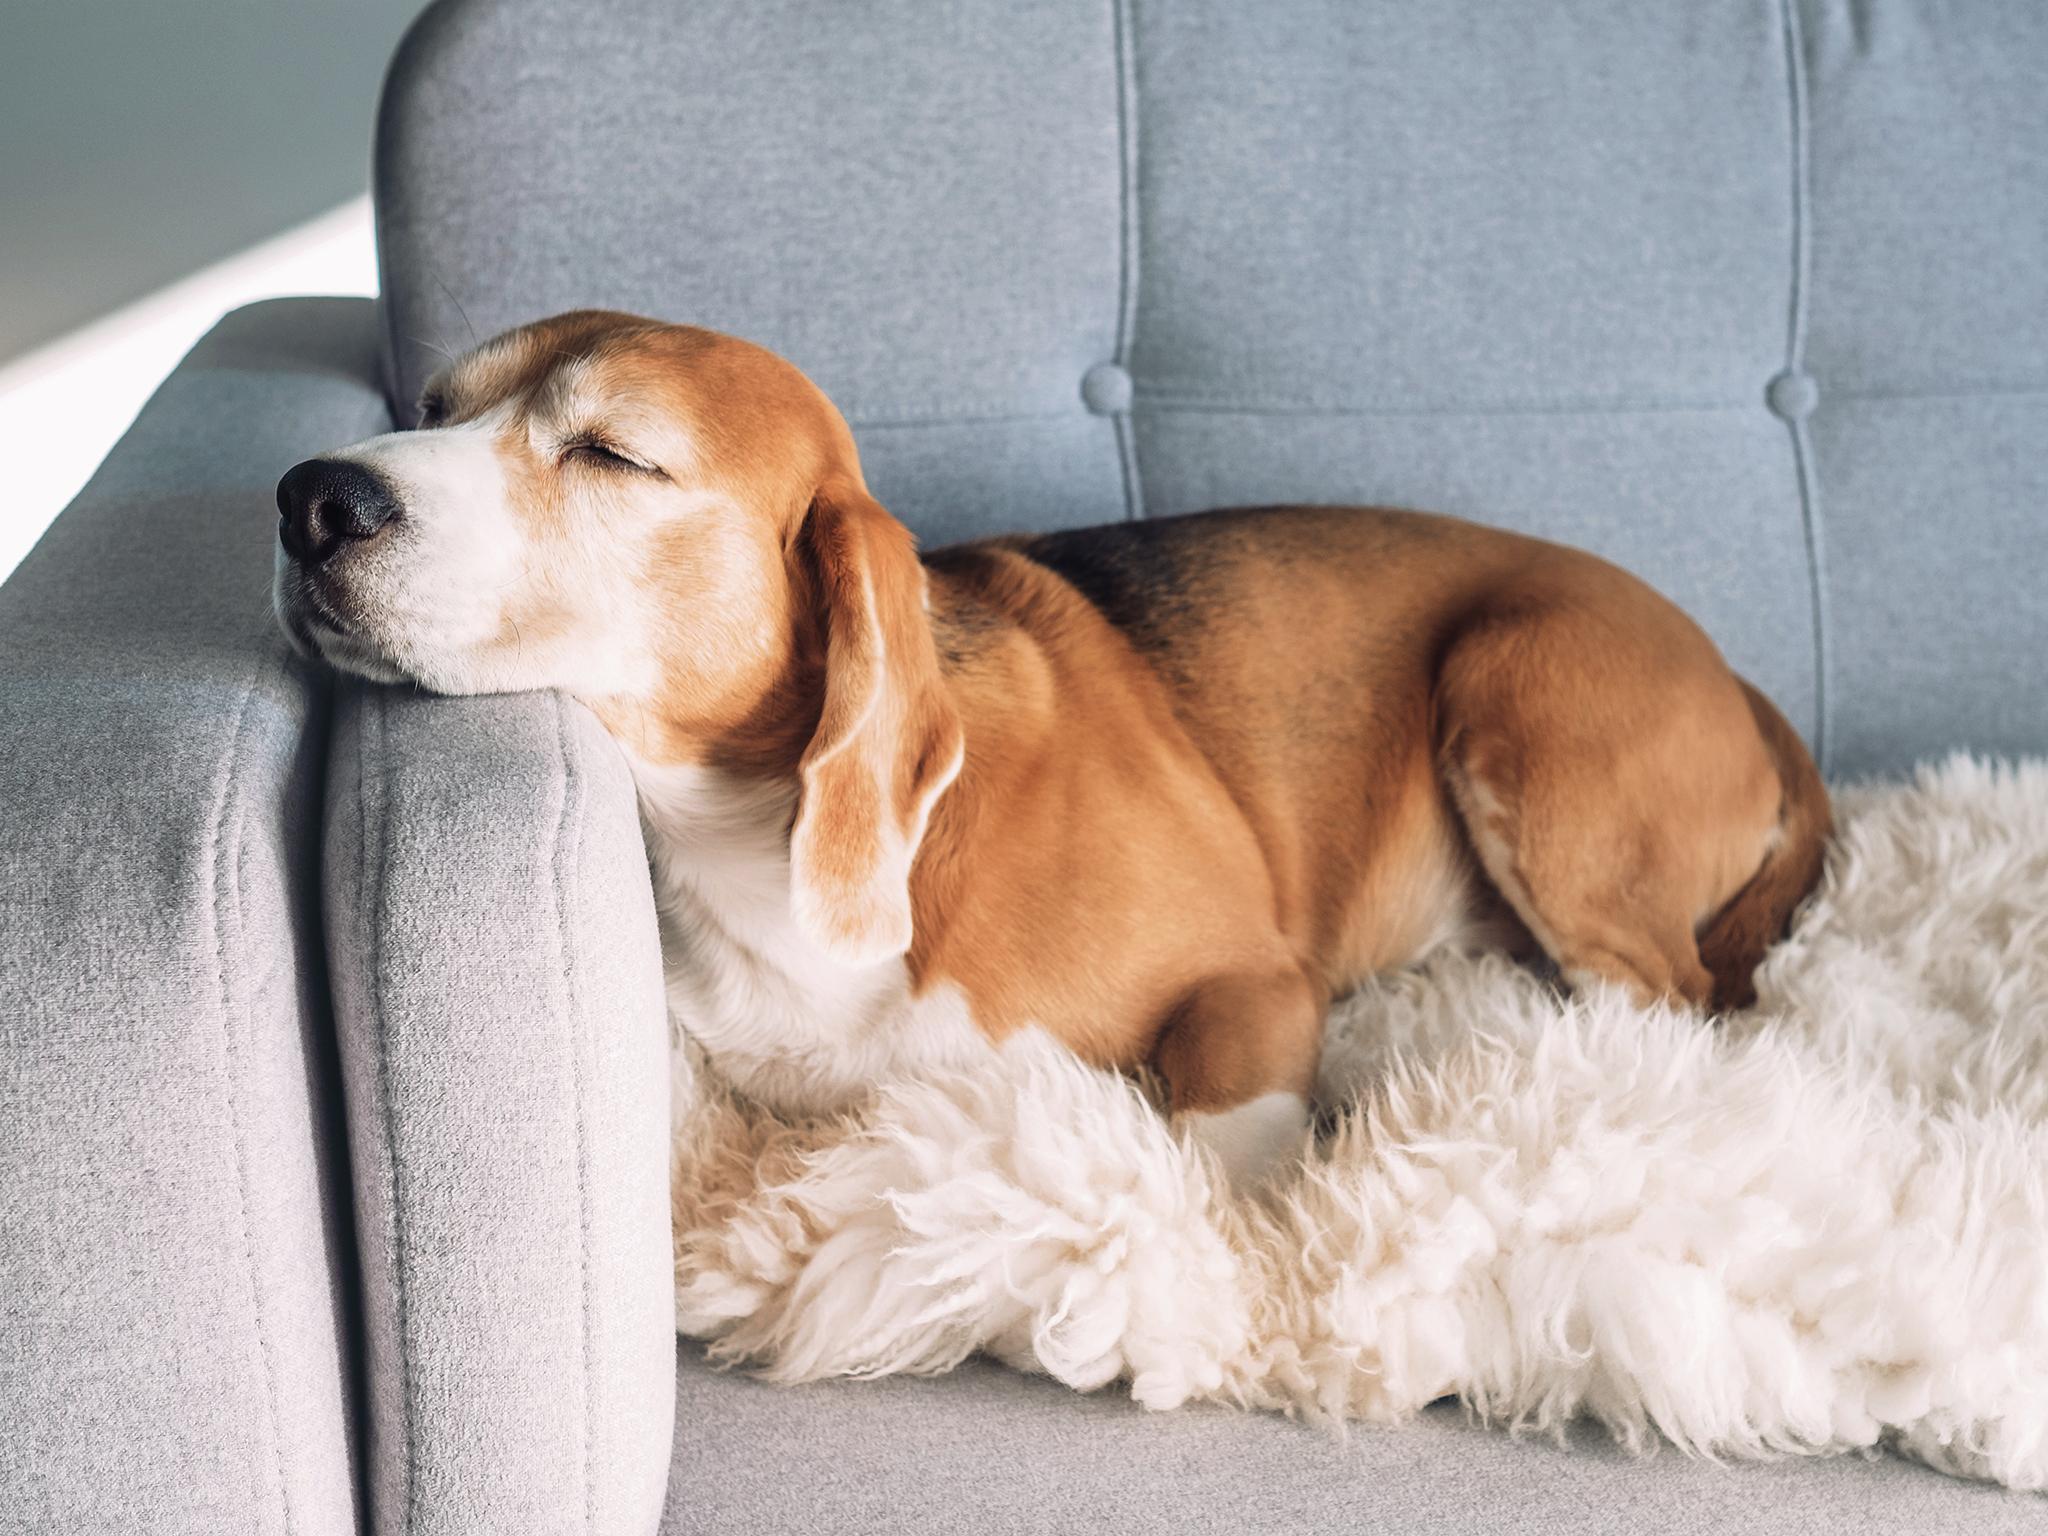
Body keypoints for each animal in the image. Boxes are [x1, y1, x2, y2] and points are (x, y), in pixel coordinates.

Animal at [272, 309, 1826, 1179]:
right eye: (430, 409)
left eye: (611, 455)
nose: (309, 498)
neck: (743, 841)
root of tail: (1739, 681)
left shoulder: (1251, 984)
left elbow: (1217, 1142)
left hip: (1518, 689)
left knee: (1671, 997)